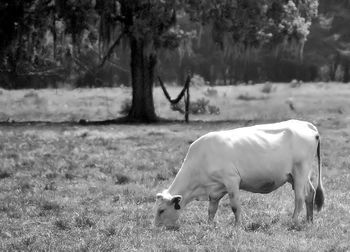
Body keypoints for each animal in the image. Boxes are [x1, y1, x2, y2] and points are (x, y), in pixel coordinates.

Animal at [154, 119, 324, 227]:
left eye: (161, 210)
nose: (155, 227)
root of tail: (306, 124)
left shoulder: (231, 180)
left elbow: (235, 206)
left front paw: (237, 226)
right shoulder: (215, 189)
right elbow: (211, 209)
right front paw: (209, 225)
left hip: (300, 171)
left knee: (299, 198)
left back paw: (293, 222)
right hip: (297, 175)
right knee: (310, 193)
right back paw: (309, 220)